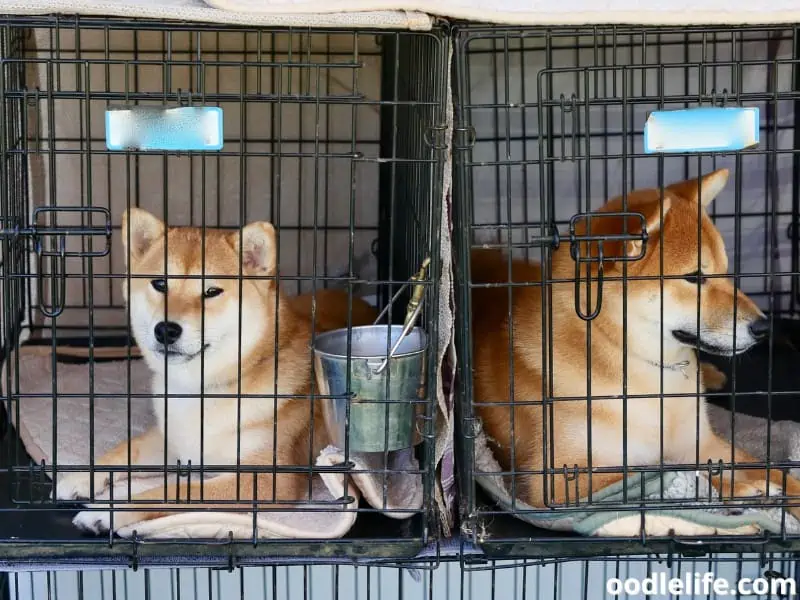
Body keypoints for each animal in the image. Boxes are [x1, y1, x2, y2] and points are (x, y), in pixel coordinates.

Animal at [56, 209, 378, 532]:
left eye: (212, 291)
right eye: (159, 284)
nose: (166, 329)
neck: (202, 391)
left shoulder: (266, 478)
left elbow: (172, 490)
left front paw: (107, 511)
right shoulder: (173, 438)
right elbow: (124, 450)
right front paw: (80, 477)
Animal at [472, 170, 800, 520]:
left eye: (725, 271)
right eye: (694, 277)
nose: (764, 327)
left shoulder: (703, 442)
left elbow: (775, 471)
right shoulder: (557, 481)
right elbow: (669, 469)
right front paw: (741, 489)